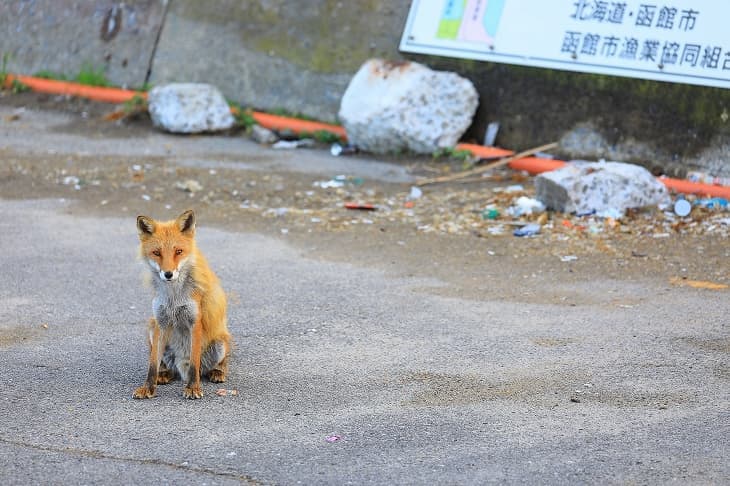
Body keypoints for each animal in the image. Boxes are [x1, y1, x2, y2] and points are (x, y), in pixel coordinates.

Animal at [133, 209, 230, 398]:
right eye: (157, 253)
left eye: (178, 251)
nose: (168, 274)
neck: (173, 297)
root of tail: (180, 367)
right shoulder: (161, 321)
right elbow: (152, 364)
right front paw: (148, 387)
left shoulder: (195, 321)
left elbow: (194, 363)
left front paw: (193, 388)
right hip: (152, 328)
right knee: (164, 366)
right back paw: (164, 375)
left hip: (220, 342)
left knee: (216, 365)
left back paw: (217, 372)